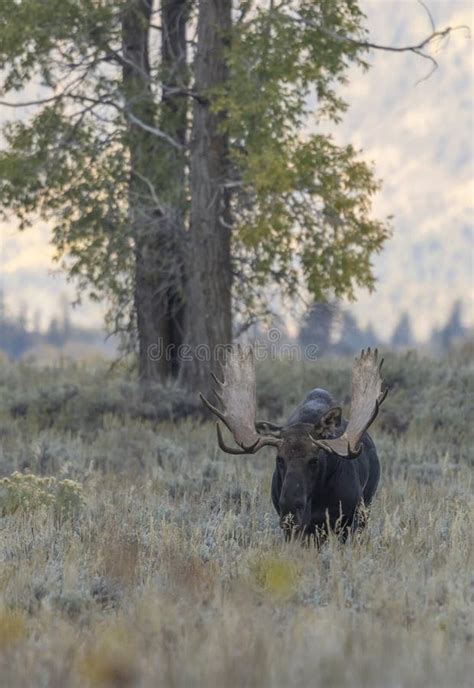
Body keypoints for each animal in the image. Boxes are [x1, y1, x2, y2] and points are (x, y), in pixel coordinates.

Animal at [200, 346, 386, 540]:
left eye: (314, 461)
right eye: (279, 459)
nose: (289, 505)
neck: (318, 501)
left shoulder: (348, 520)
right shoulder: (295, 529)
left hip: (366, 506)